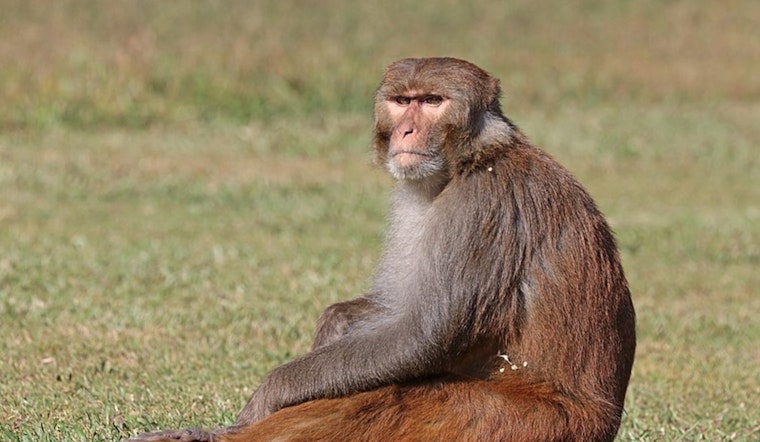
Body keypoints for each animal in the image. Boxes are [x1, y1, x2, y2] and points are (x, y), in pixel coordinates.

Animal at [129, 57, 636, 442]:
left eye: (432, 102)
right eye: (402, 102)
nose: (407, 132)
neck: (468, 162)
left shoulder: (482, 206)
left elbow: (420, 335)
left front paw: (264, 399)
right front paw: (336, 322)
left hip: (511, 423)